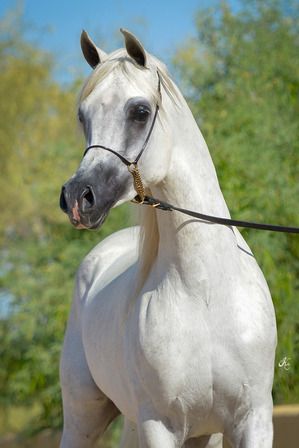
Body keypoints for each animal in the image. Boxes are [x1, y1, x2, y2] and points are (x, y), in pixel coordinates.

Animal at [59, 29, 278, 446]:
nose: (78, 198)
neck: (205, 293)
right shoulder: (159, 424)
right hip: (84, 416)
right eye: (82, 116)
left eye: (140, 111)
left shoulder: (253, 419)